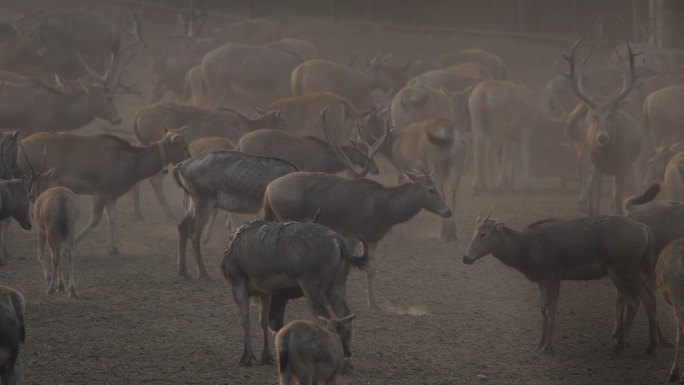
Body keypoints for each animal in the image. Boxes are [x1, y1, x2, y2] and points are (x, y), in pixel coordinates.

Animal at [560, 40, 644, 214]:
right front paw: (592, 212)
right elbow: (594, 192)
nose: (602, 137)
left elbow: (618, 197)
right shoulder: (598, 166)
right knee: (589, 180)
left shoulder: (622, 166)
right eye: (594, 116)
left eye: (611, 115)